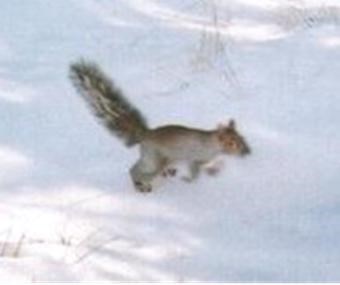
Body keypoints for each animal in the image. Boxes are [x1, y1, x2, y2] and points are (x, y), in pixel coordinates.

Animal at [69, 60, 251, 193]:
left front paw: (217, 169)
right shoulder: (196, 157)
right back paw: (140, 185)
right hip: (155, 159)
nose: (247, 152)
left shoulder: (206, 158)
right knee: (136, 170)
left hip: (155, 159)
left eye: (242, 138)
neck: (212, 143)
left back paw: (166, 173)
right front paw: (189, 180)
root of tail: (145, 134)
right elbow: (195, 171)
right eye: (231, 143)